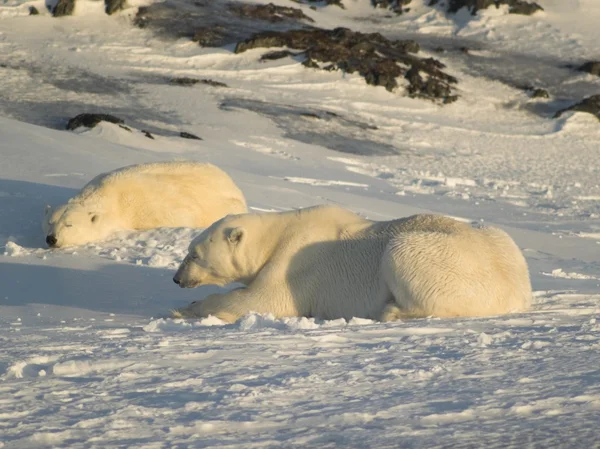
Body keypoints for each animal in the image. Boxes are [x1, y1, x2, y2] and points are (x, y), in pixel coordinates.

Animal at [172, 205, 528, 324]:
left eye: (194, 254)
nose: (176, 279)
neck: (277, 234)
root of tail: (518, 290)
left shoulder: (295, 264)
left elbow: (263, 300)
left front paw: (186, 308)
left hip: (435, 257)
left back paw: (390, 310)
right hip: (501, 239)